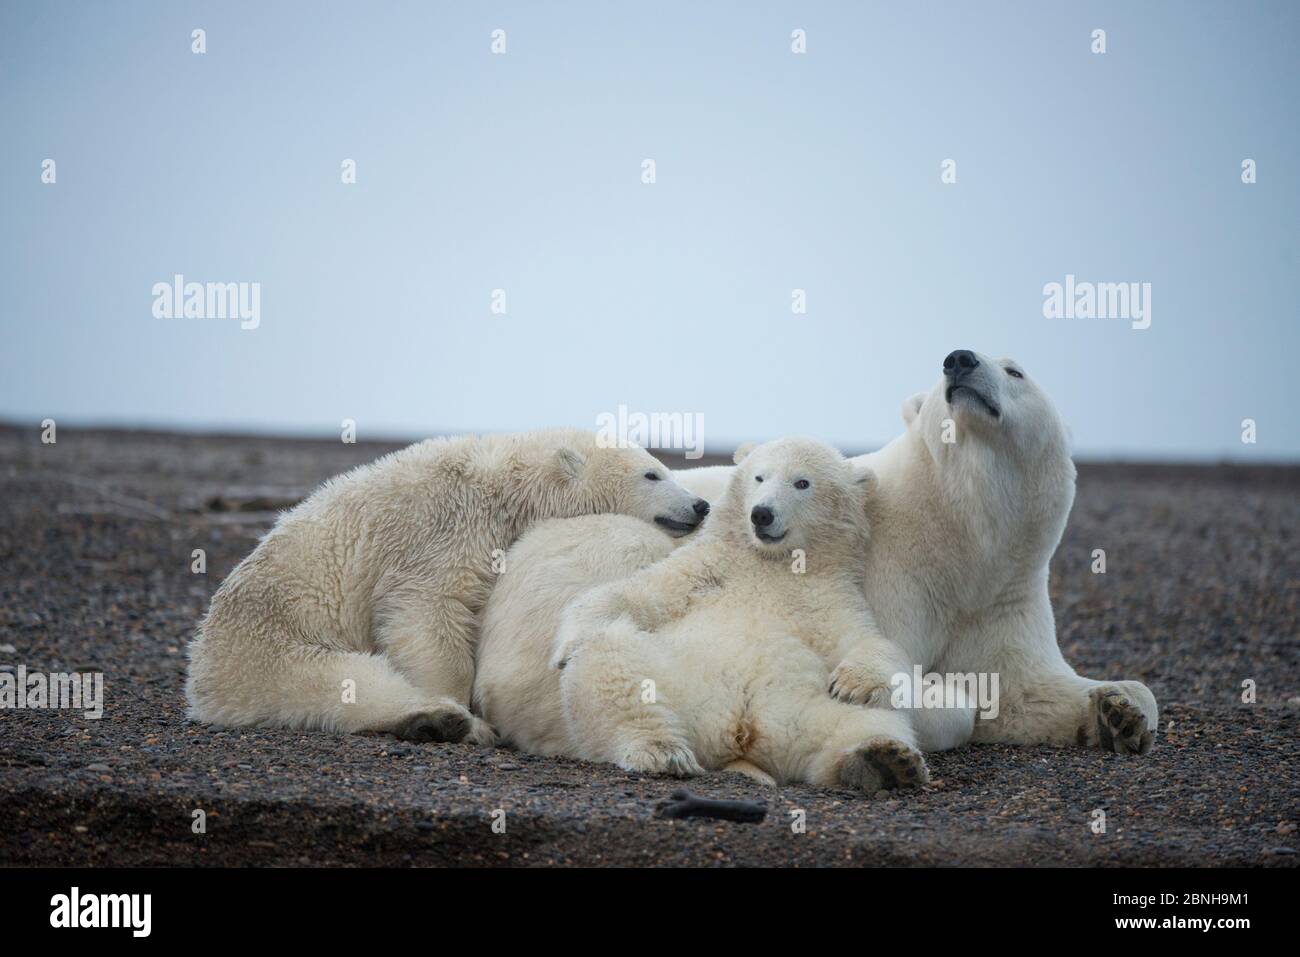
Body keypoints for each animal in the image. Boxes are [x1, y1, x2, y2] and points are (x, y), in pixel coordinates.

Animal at [475, 351, 1159, 764]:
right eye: (940, 380)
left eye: (1015, 370)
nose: (959, 359)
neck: (955, 536)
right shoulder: (883, 580)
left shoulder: (1001, 592)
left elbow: (1022, 687)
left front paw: (1119, 712)